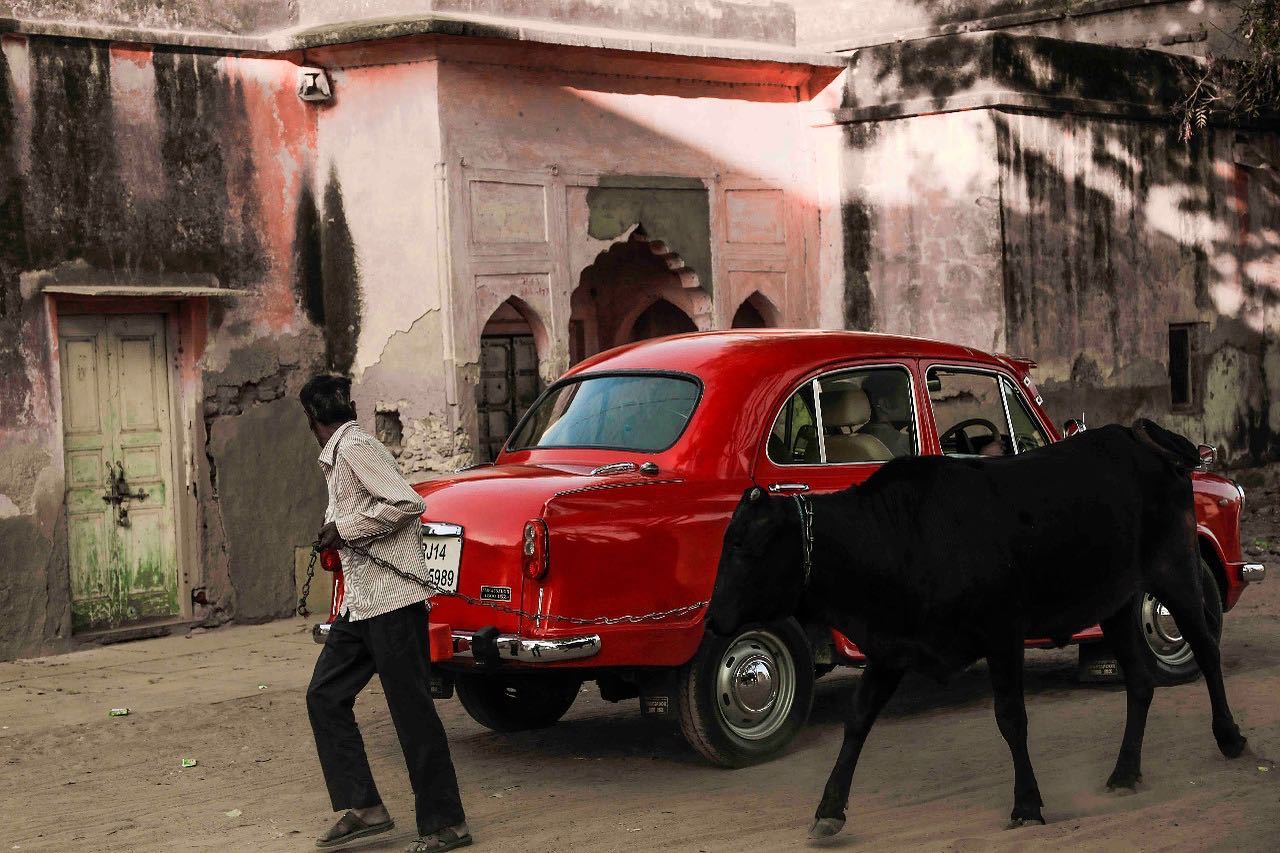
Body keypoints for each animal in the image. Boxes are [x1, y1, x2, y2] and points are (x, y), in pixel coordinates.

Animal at [706, 422, 1244, 835]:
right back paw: (1124, 772)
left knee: (1206, 647)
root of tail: (1139, 436)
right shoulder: (892, 648)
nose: (712, 620)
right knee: (1139, 680)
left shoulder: (1002, 633)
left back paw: (1230, 738)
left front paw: (1027, 804)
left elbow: (1011, 717)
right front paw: (829, 809)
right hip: (1116, 602)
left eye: (747, 547)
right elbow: (857, 720)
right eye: (726, 541)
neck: (900, 535)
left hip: (1175, 572)